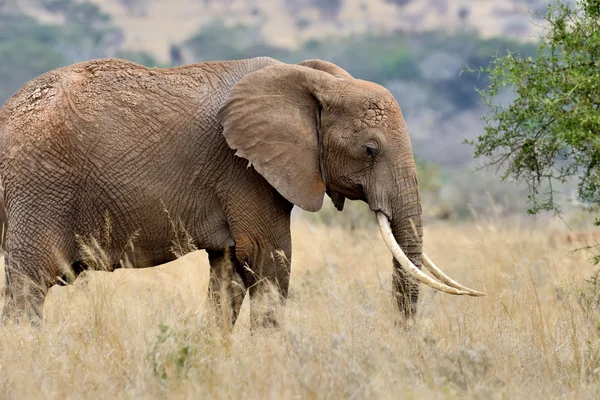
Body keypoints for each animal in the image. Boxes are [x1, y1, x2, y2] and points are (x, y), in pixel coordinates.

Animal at [0, 56, 482, 324]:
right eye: (370, 150)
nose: (401, 336)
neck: (308, 80)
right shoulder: (245, 171)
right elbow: (268, 261)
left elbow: (229, 272)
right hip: (38, 186)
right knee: (29, 286)